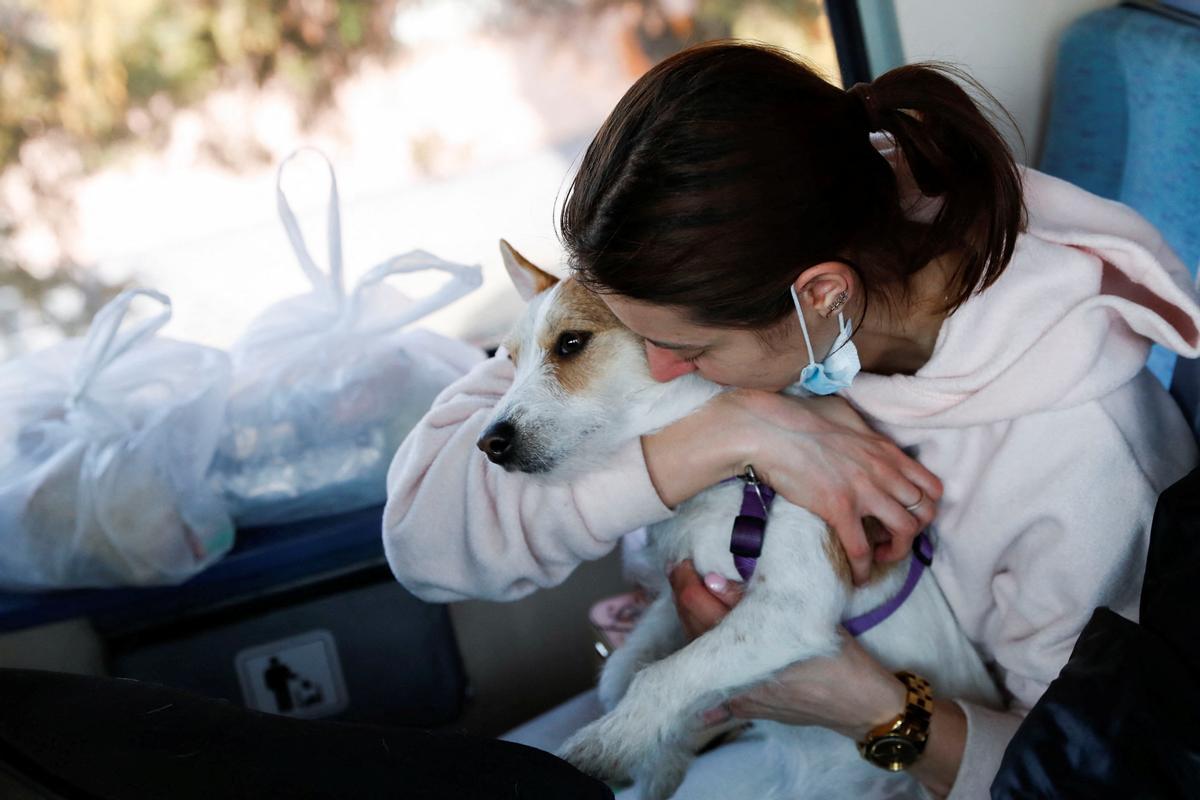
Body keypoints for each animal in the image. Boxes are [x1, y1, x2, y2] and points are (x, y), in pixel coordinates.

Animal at [480, 241, 1003, 796]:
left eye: (571, 343)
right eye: (509, 360)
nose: (489, 443)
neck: (739, 481)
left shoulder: (790, 608)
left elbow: (663, 673)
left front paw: (609, 741)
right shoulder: (681, 590)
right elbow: (624, 665)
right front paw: (651, 746)